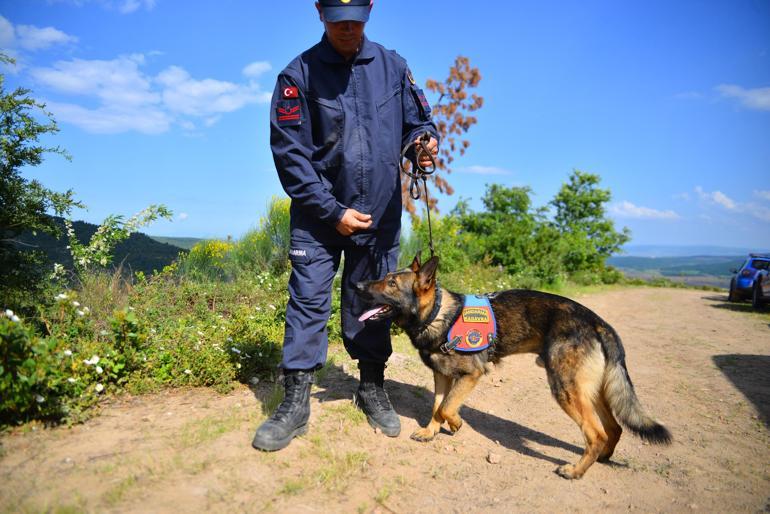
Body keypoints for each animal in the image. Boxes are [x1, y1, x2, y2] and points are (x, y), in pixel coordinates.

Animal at [356, 254, 668, 478]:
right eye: (384, 278)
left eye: (392, 284)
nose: (357, 285)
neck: (437, 314)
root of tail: (598, 323)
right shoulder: (441, 376)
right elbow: (437, 406)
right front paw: (431, 432)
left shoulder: (471, 375)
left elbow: (446, 408)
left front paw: (457, 424)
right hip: (592, 391)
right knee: (614, 428)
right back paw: (602, 458)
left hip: (566, 389)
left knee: (597, 433)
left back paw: (575, 471)